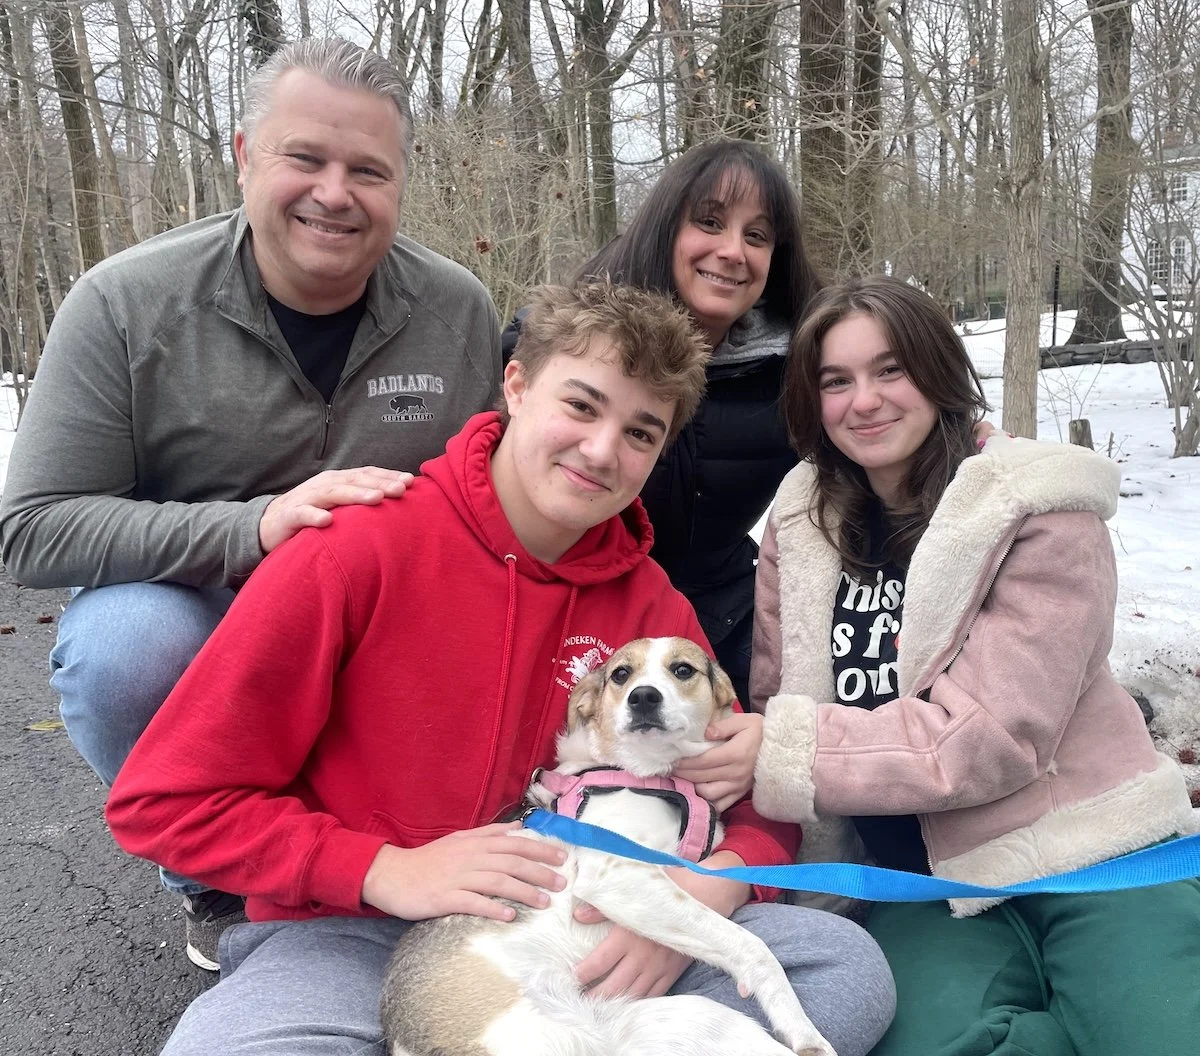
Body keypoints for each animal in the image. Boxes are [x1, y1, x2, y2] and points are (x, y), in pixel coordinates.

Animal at [380, 637, 836, 1056]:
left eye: (683, 670)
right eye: (621, 674)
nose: (643, 696)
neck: (651, 774)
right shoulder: (620, 878)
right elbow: (751, 946)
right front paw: (803, 1028)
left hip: (689, 1020)